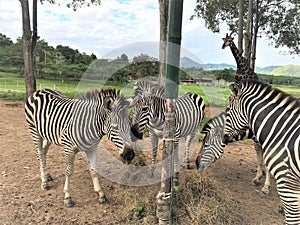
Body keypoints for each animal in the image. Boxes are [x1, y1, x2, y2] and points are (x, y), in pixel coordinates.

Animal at [225, 80, 300, 224]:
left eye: (228, 111)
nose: (223, 137)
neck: (282, 130)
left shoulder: (287, 180)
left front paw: (265, 187)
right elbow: (261, 161)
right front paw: (259, 179)